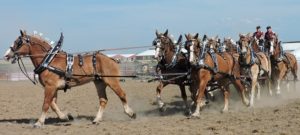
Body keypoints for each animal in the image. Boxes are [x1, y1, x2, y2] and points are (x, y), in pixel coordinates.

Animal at [2, 29, 136, 127]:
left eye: (18, 42)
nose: (6, 55)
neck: (49, 61)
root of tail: (111, 59)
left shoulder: (50, 87)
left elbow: (46, 104)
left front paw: (39, 122)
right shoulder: (53, 88)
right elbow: (53, 104)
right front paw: (65, 117)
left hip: (111, 81)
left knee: (122, 94)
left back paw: (131, 113)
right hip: (99, 82)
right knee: (103, 100)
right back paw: (96, 119)